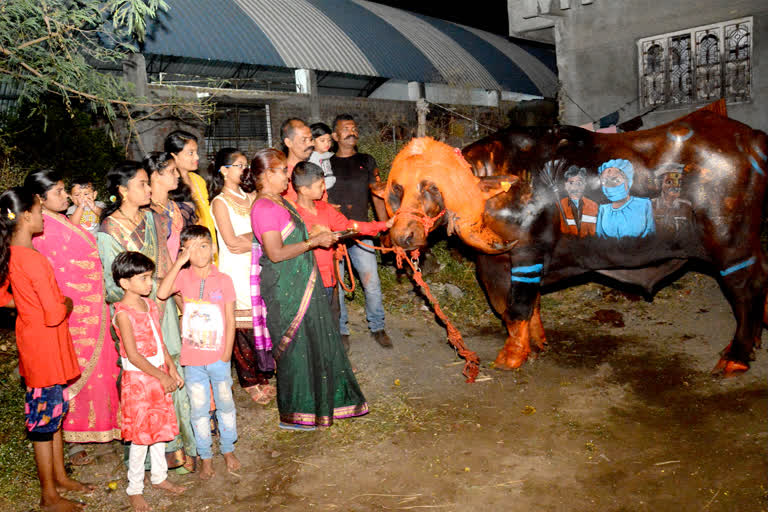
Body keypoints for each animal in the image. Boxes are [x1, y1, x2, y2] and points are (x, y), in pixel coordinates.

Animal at [374, 111, 768, 376]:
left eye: (431, 187)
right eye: (397, 190)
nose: (403, 235)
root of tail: (751, 140)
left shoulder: (528, 254)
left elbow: (517, 306)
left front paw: (511, 356)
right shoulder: (498, 264)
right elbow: (521, 307)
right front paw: (535, 343)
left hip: (730, 246)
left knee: (746, 290)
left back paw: (735, 356)